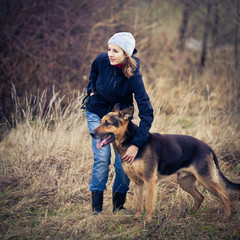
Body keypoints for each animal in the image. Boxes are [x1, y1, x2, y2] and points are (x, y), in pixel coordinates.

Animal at [90, 103, 240, 221]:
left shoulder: (150, 181)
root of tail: (208, 147)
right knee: (200, 197)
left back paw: (226, 216)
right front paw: (137, 219)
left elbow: (148, 204)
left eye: (107, 123)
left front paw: (147, 222)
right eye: (100, 121)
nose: (91, 133)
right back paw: (190, 213)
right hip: (185, 182)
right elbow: (138, 204)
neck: (133, 141)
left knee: (225, 195)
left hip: (206, 180)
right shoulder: (138, 183)